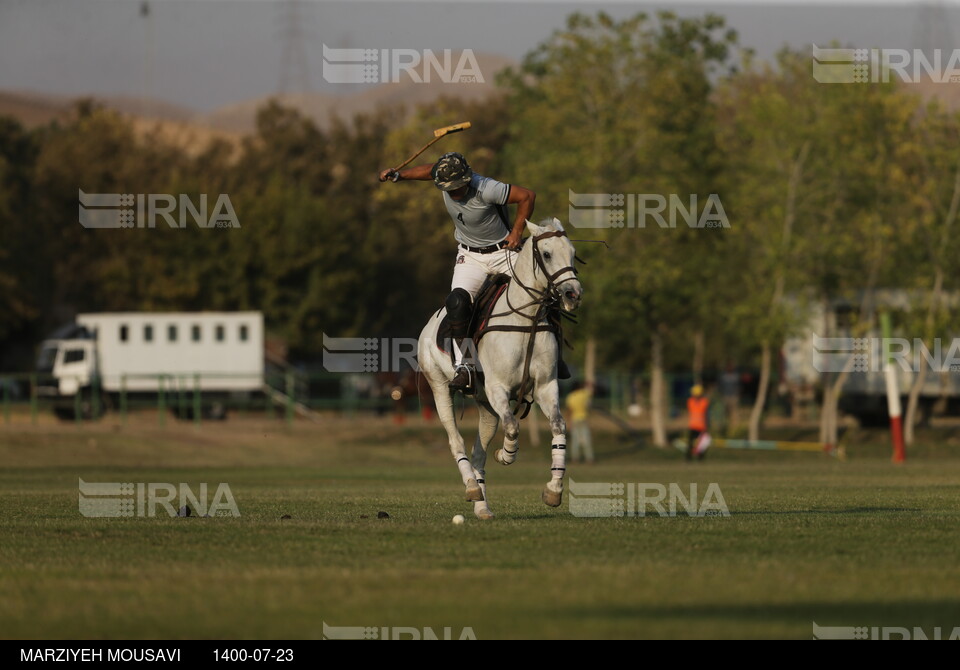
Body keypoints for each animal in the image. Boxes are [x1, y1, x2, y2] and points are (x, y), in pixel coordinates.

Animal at [418, 218, 584, 524]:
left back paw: (482, 506)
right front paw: (506, 455)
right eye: (546, 254)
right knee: (456, 441)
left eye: (572, 252)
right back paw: (471, 486)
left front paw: (553, 490)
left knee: (478, 453)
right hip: (438, 386)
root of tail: (430, 323)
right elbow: (513, 425)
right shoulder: (498, 388)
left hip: (485, 406)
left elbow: (558, 426)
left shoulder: (546, 385)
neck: (526, 319)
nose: (573, 294)